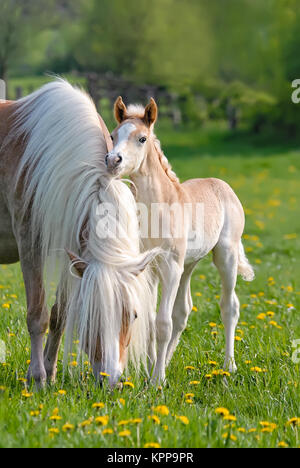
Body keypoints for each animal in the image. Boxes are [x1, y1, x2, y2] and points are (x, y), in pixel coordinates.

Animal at [0, 79, 159, 388]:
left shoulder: (72, 249)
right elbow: (37, 315)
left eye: (134, 315)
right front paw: (37, 379)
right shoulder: (30, 243)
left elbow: (59, 315)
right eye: (91, 315)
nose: (111, 381)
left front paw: (48, 371)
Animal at [106, 96, 254, 384]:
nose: (113, 160)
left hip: (224, 256)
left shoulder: (170, 265)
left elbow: (163, 322)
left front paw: (156, 381)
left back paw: (229, 366)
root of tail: (222, 185)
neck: (158, 207)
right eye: (113, 135)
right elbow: (153, 320)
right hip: (188, 265)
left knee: (229, 306)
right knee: (183, 311)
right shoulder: (150, 268)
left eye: (141, 138)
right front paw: (151, 370)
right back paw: (166, 362)